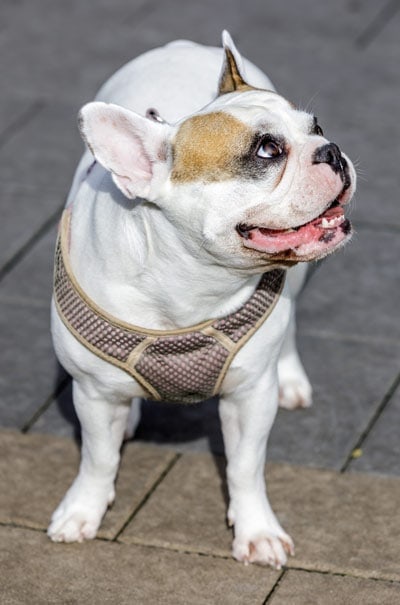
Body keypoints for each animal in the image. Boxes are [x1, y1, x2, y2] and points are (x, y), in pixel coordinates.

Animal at [47, 31, 356, 572]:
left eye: (316, 127)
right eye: (267, 150)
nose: (333, 150)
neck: (189, 283)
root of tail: (182, 45)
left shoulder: (249, 397)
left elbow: (245, 467)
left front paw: (257, 532)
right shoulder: (91, 394)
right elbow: (97, 458)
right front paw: (83, 510)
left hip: (296, 283)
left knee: (291, 323)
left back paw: (290, 377)